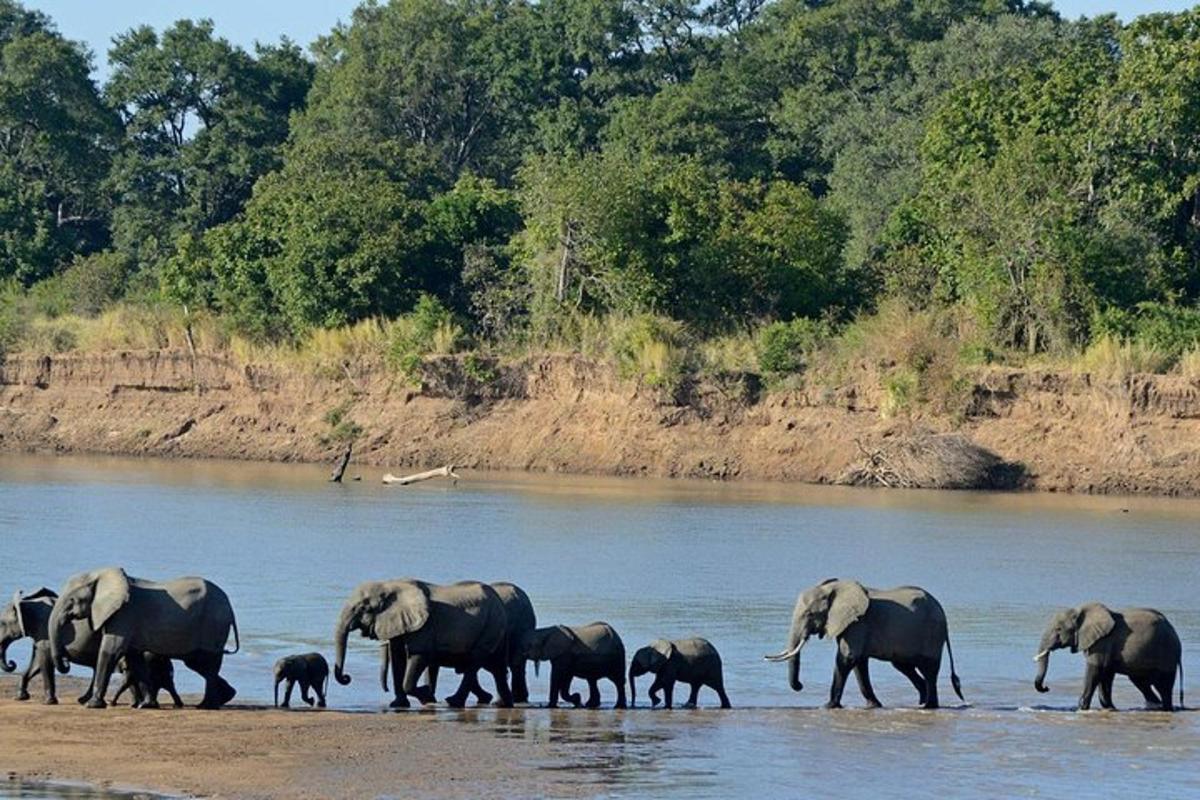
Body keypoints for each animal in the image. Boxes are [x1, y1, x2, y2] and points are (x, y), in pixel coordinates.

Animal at [49, 566, 241, 710]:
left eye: (72, 600)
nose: (65, 663)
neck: (102, 575)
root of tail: (229, 605)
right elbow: (135, 658)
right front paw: (146, 705)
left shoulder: (123, 615)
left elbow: (110, 651)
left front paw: (92, 705)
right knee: (199, 664)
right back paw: (223, 698)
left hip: (213, 624)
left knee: (208, 663)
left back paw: (207, 706)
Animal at [333, 582, 511, 705]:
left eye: (363, 609)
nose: (347, 677)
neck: (389, 585)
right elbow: (398, 658)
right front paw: (398, 704)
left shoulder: (424, 626)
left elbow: (419, 655)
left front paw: (427, 697)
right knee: (496, 666)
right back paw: (501, 703)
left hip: (491, 625)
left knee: (475, 661)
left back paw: (453, 702)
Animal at [768, 578, 964, 710]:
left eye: (809, 614)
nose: (800, 686)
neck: (835, 588)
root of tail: (942, 611)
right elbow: (858, 663)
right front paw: (873, 706)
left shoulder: (858, 623)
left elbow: (847, 658)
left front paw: (827, 706)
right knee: (904, 666)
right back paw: (922, 703)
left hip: (932, 633)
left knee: (929, 669)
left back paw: (928, 706)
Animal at [1027, 604, 1185, 710]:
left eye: (1058, 629)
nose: (1046, 688)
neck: (1079, 611)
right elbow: (1106, 674)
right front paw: (1110, 708)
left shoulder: (1102, 642)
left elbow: (1096, 670)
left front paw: (1081, 708)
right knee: (1140, 682)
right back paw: (1155, 707)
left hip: (1167, 653)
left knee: (1163, 685)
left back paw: (1165, 708)